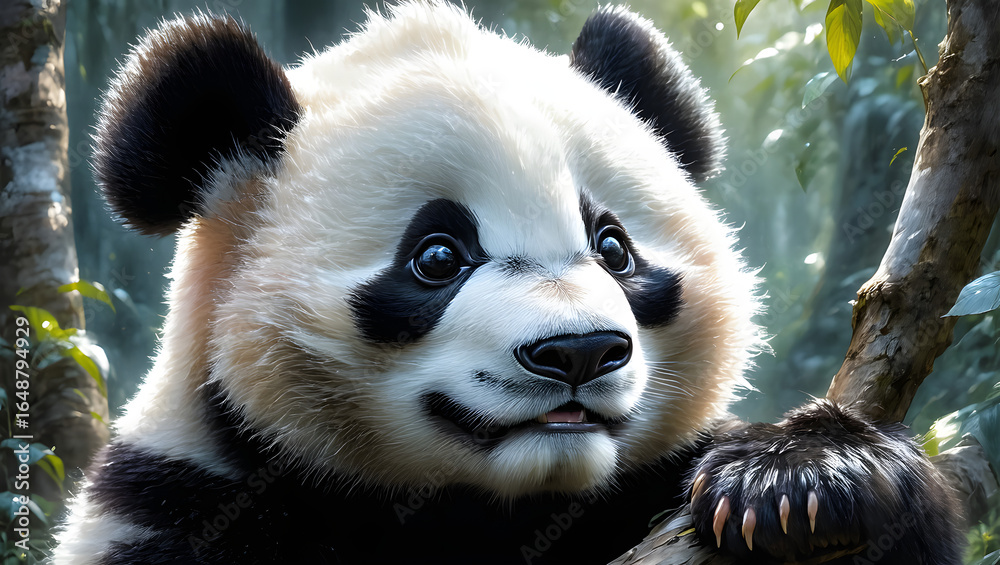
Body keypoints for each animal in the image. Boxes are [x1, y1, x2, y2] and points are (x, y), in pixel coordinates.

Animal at [54, 3, 962, 564]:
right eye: (437, 256)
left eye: (613, 248)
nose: (579, 351)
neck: (489, 501)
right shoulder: (179, 506)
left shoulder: (636, 487)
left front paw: (805, 478)